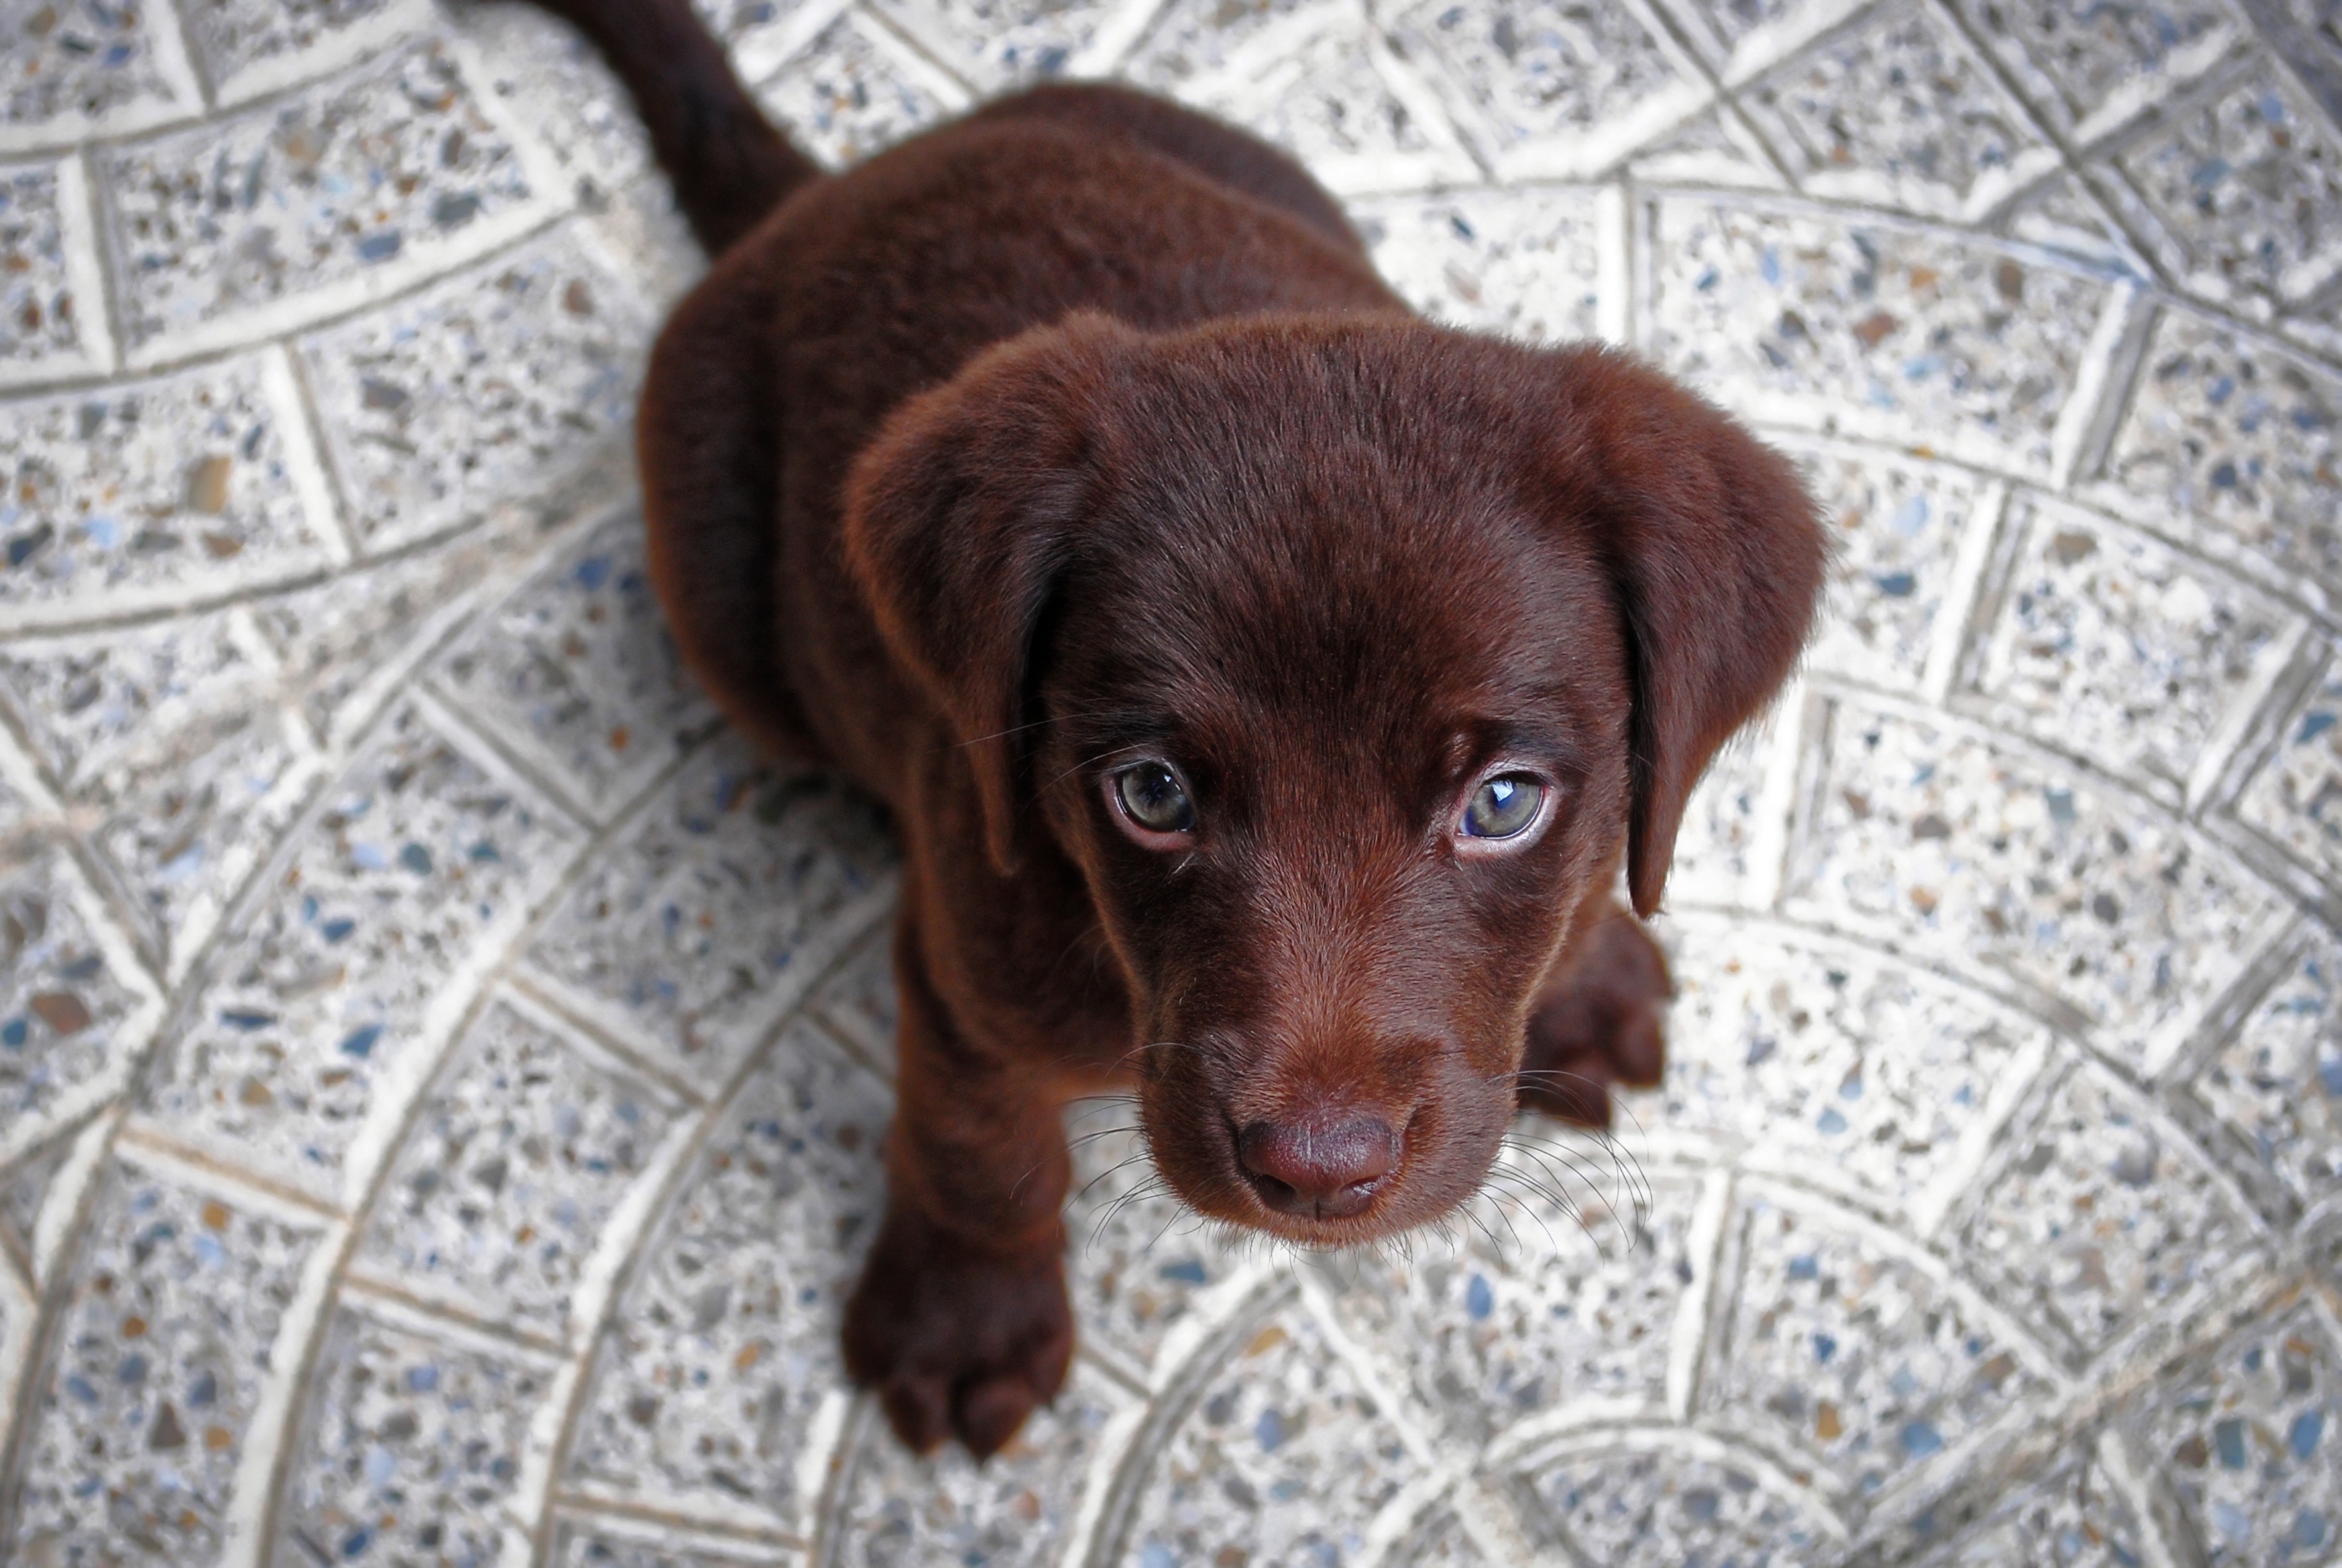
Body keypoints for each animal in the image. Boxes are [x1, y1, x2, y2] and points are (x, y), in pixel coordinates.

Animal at [522, 0, 1817, 1453]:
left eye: (1501, 800)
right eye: (1150, 793)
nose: (1316, 1173)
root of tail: (821, 196)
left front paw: (1584, 977)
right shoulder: (966, 965)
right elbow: (978, 1147)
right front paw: (965, 1321)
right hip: (720, 597)